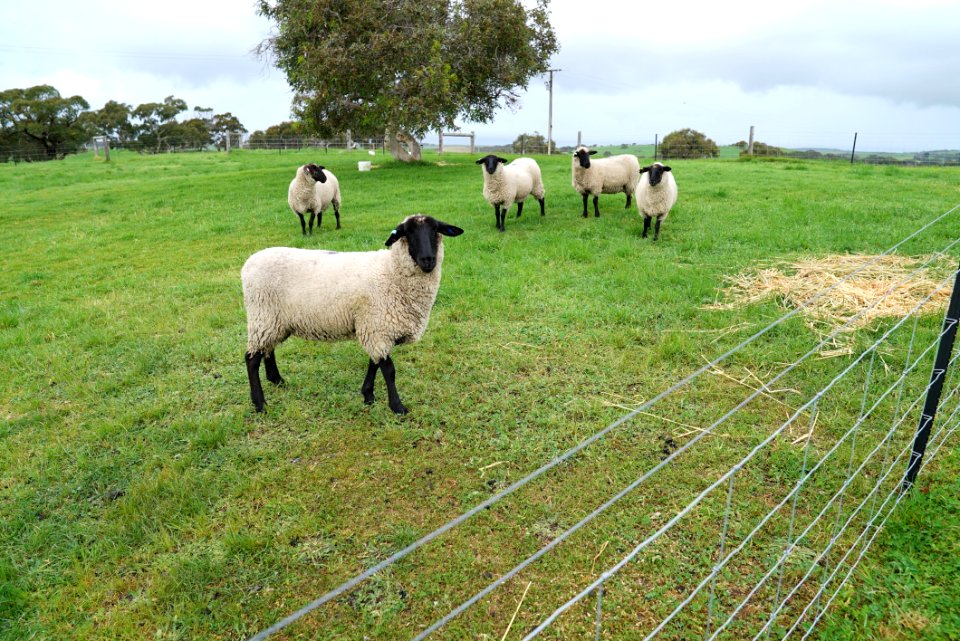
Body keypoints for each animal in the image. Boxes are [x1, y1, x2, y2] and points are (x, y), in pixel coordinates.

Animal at [242, 215, 464, 416]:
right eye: (407, 232)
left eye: (435, 230)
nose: (428, 260)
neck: (391, 271)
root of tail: (249, 263)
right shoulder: (377, 327)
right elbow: (389, 370)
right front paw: (397, 407)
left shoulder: (374, 326)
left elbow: (374, 363)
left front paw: (368, 395)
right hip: (262, 315)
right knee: (252, 359)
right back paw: (260, 404)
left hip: (274, 321)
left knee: (268, 349)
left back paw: (277, 380)